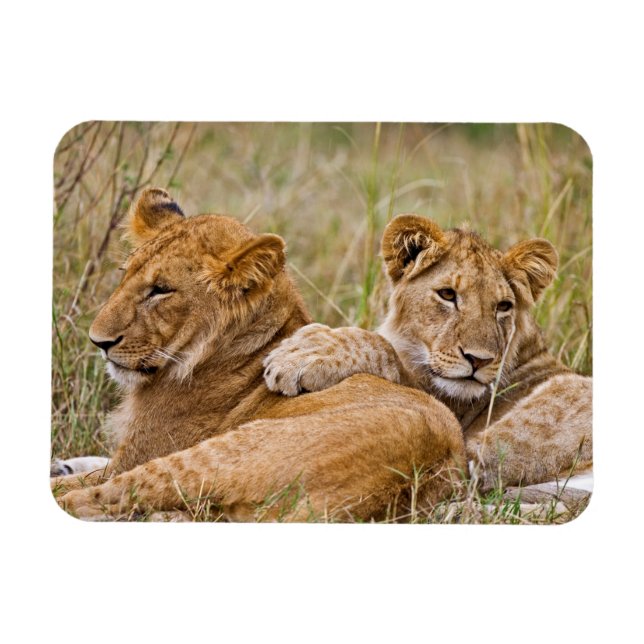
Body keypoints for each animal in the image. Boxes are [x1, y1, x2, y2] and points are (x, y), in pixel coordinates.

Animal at [52, 189, 466, 521]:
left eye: (161, 289)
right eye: (125, 273)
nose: (98, 341)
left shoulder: (139, 454)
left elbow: (86, 478)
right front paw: (64, 462)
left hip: (215, 454)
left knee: (90, 498)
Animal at [264, 214, 592, 493]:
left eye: (503, 306)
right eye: (447, 294)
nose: (479, 360)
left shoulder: (441, 406)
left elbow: (382, 348)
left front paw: (301, 352)